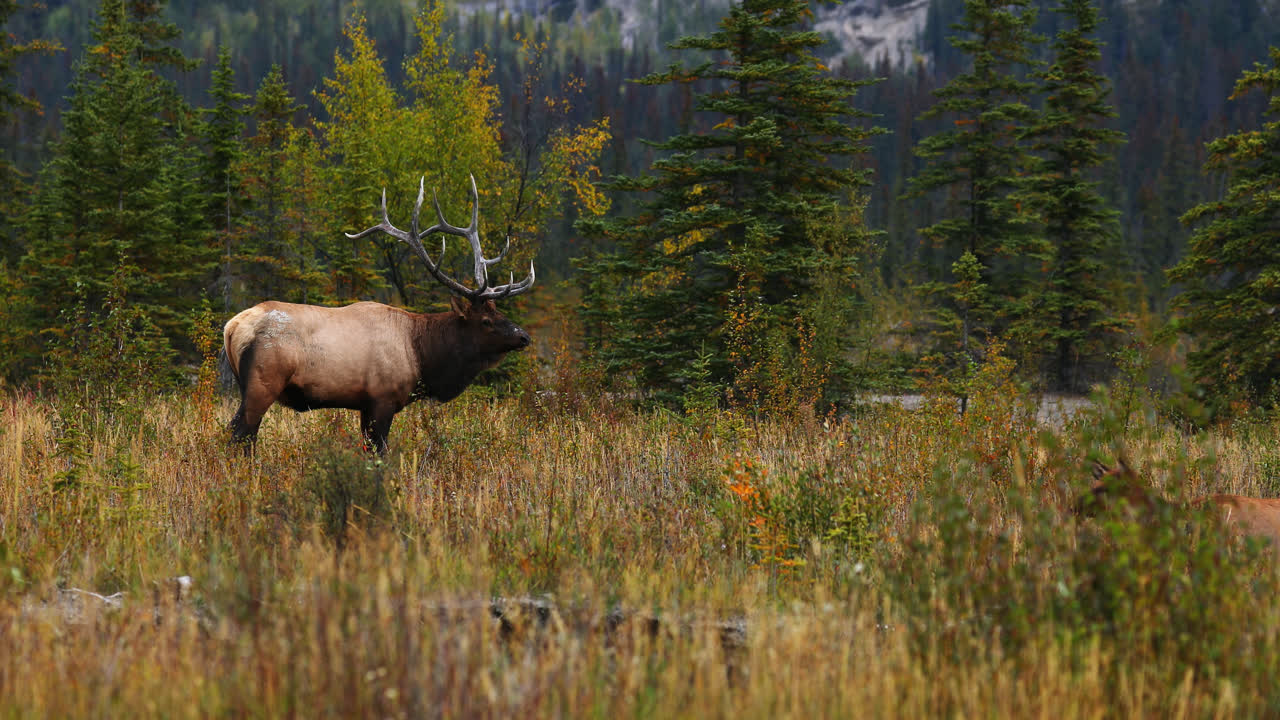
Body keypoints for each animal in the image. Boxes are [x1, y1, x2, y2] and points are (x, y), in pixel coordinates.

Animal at [222, 175, 534, 453]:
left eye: (499, 311)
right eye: (486, 321)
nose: (524, 337)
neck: (421, 355)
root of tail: (232, 326)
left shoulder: (365, 404)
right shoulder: (383, 399)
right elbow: (379, 452)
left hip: (244, 384)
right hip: (263, 382)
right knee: (241, 434)